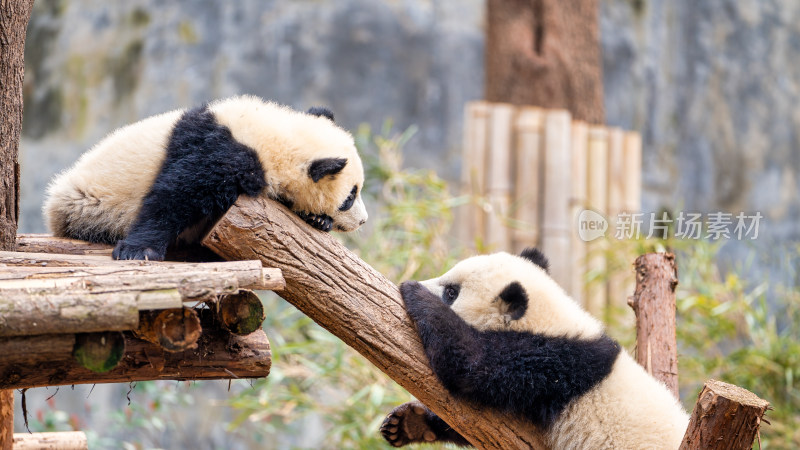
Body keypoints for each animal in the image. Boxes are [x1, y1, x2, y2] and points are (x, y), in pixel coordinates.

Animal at [43, 96, 368, 262]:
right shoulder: (221, 150)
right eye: (350, 197)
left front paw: (318, 220)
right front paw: (139, 250)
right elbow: (176, 195)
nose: (363, 221)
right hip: (92, 206)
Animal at [382, 250, 688, 450]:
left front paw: (415, 292)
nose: (420, 282)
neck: (550, 318)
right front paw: (408, 422)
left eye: (451, 292)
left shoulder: (551, 364)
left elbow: (471, 368)